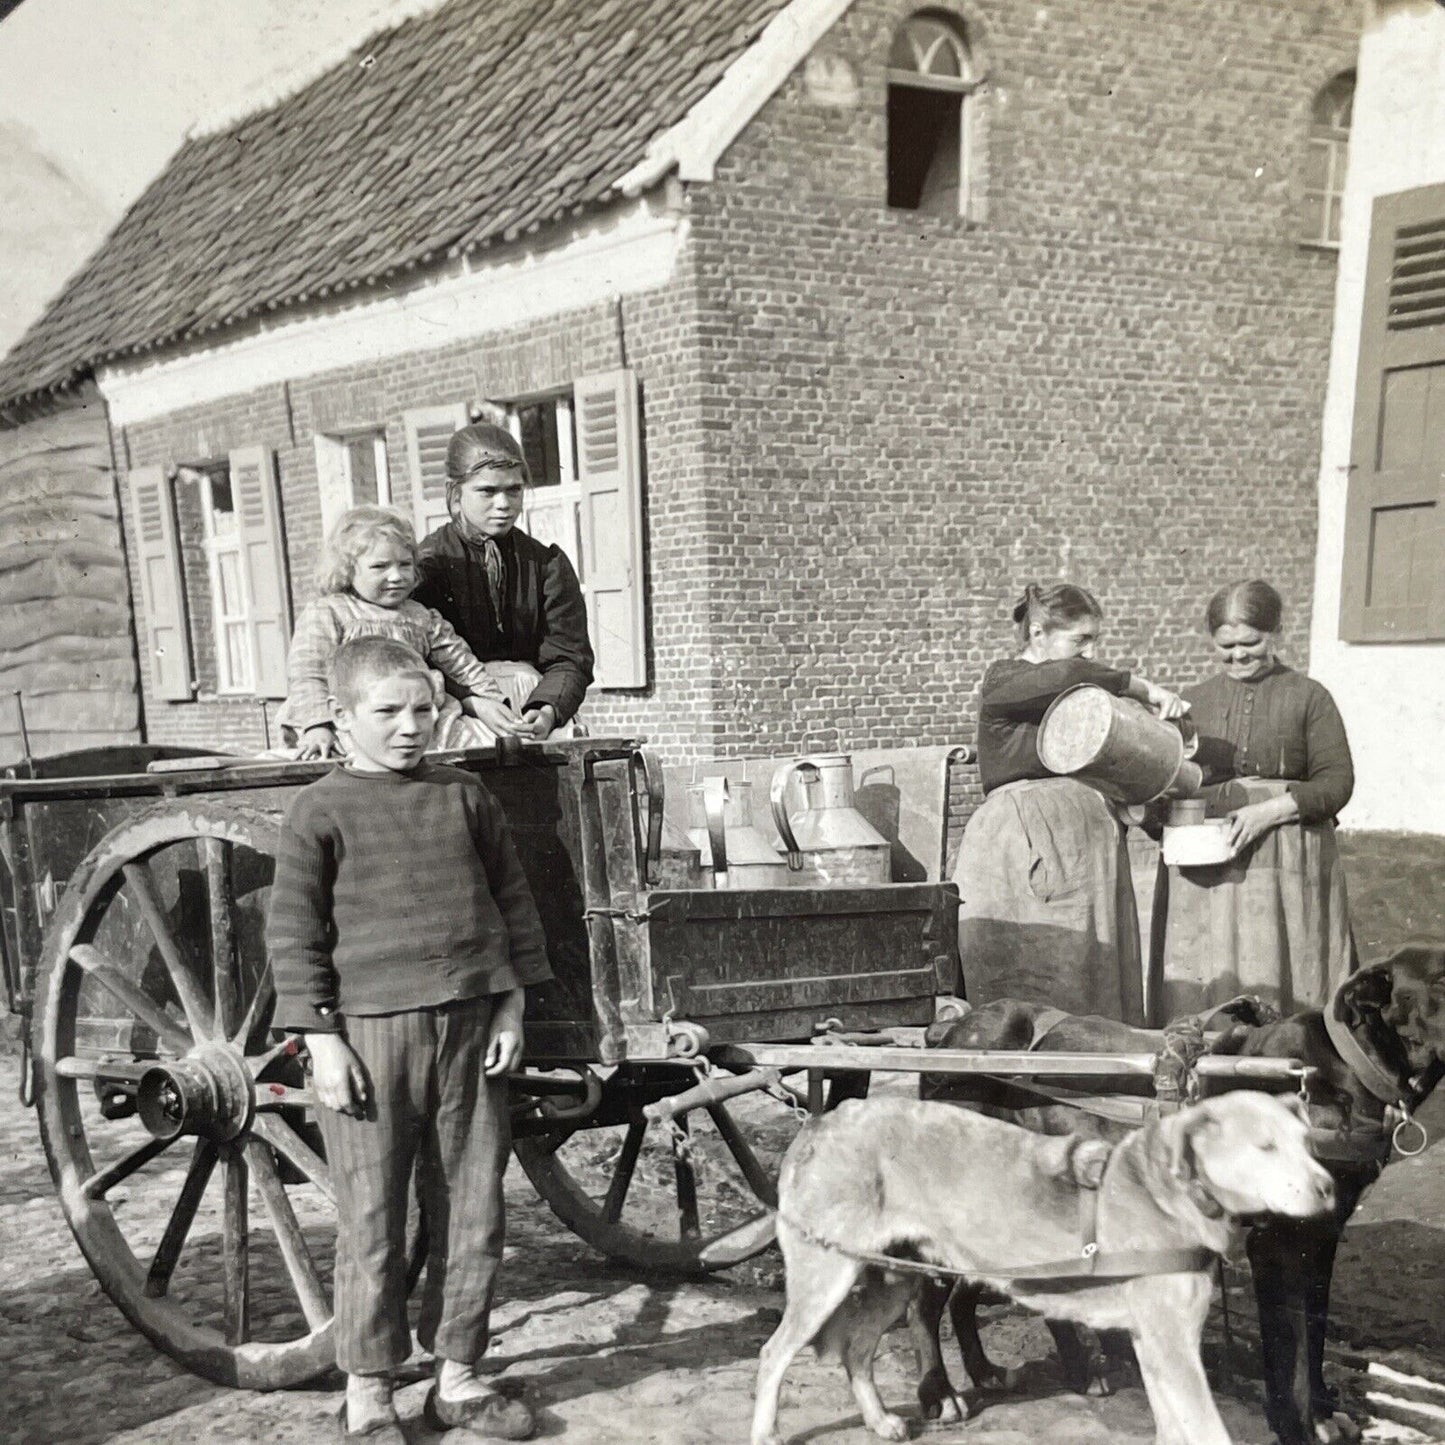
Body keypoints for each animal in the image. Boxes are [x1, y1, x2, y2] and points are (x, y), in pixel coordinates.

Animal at [757, 1092, 1329, 1445]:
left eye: (1308, 1144)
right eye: (1265, 1147)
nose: (1328, 1189)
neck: (1169, 1192)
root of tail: (822, 1121)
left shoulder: (1158, 1344)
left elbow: (1174, 1427)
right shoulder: (1173, 1347)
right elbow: (1207, 1429)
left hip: (893, 1279)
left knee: (857, 1350)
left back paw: (879, 1420)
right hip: (827, 1278)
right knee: (773, 1354)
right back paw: (767, 1432)